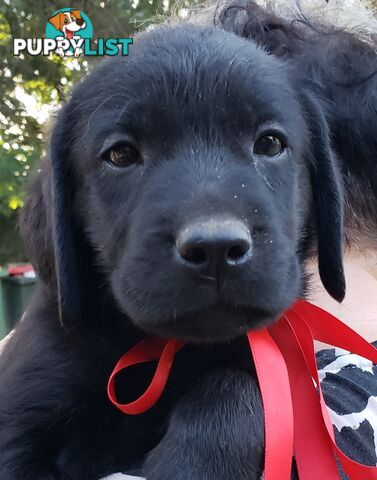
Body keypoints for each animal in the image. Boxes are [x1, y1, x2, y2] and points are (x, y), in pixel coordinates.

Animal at [0, 8, 374, 476]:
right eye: (120, 155)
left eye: (270, 143)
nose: (215, 248)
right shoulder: (20, 413)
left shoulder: (276, 369)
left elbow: (240, 391)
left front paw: (195, 463)